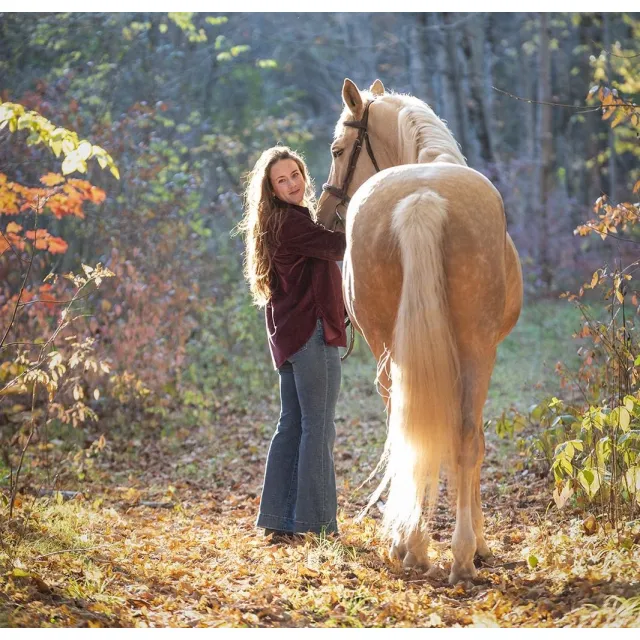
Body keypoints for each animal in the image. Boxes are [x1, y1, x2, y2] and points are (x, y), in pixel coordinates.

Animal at [316, 78, 523, 584]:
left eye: (337, 149)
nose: (323, 210)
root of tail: (423, 198)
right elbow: (473, 443)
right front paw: (478, 545)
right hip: (475, 350)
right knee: (464, 438)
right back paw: (458, 554)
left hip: (389, 351)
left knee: (408, 432)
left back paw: (412, 545)